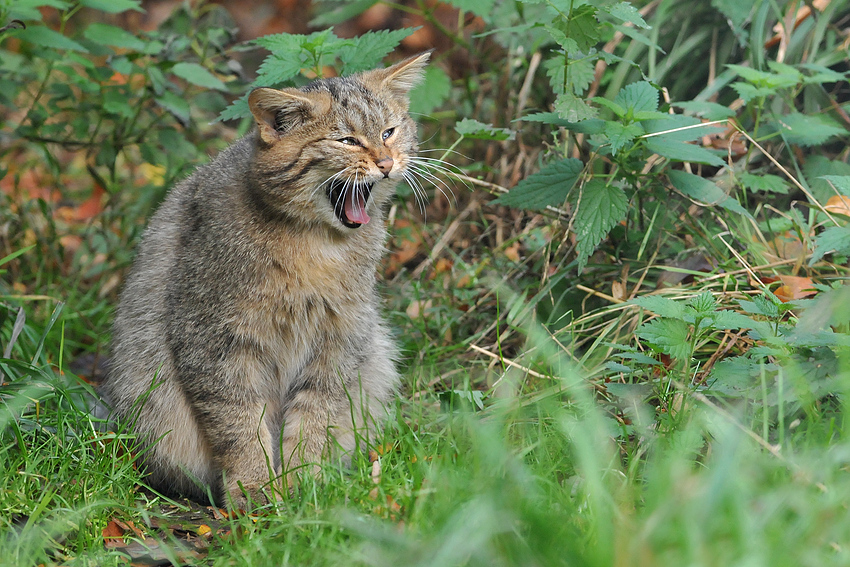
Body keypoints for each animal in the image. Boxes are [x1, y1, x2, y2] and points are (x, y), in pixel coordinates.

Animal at [101, 51, 430, 508]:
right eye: (346, 141)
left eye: (389, 132)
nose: (385, 164)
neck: (317, 245)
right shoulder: (214, 341)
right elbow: (239, 423)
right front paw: (254, 489)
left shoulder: (340, 338)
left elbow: (315, 418)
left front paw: (304, 481)